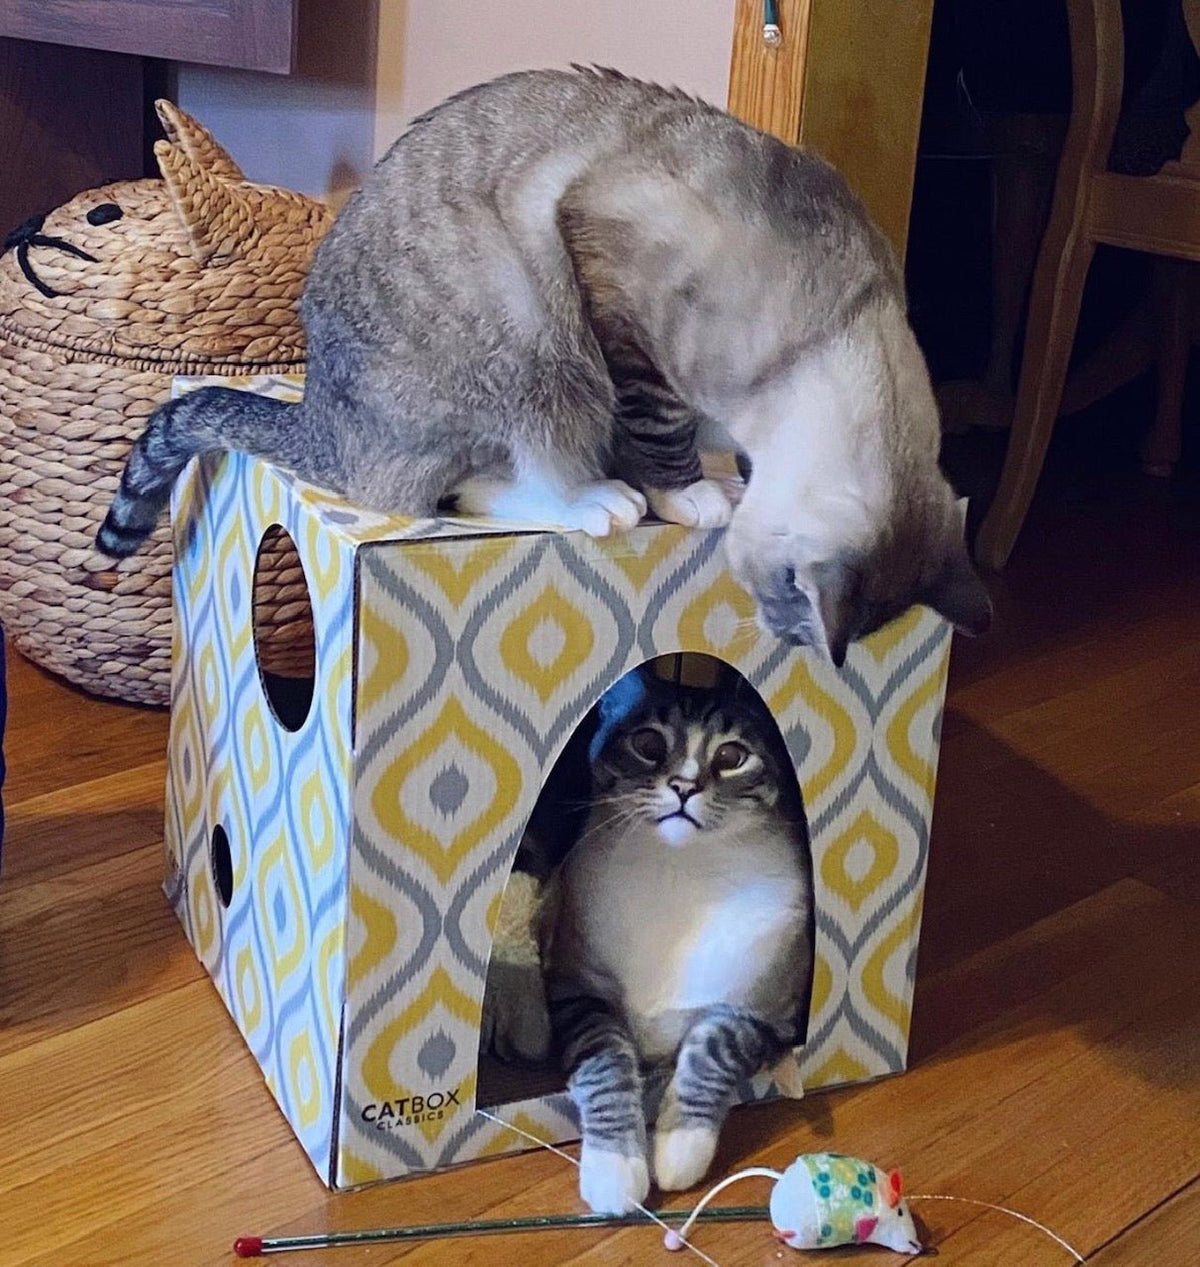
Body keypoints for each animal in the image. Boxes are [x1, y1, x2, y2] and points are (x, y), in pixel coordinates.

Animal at [98, 66, 988, 663]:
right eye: (788, 609)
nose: (795, 647)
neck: (843, 316)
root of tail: (319, 410)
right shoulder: (616, 289)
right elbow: (657, 429)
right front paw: (686, 494)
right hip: (518, 325)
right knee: (463, 484)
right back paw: (599, 501)